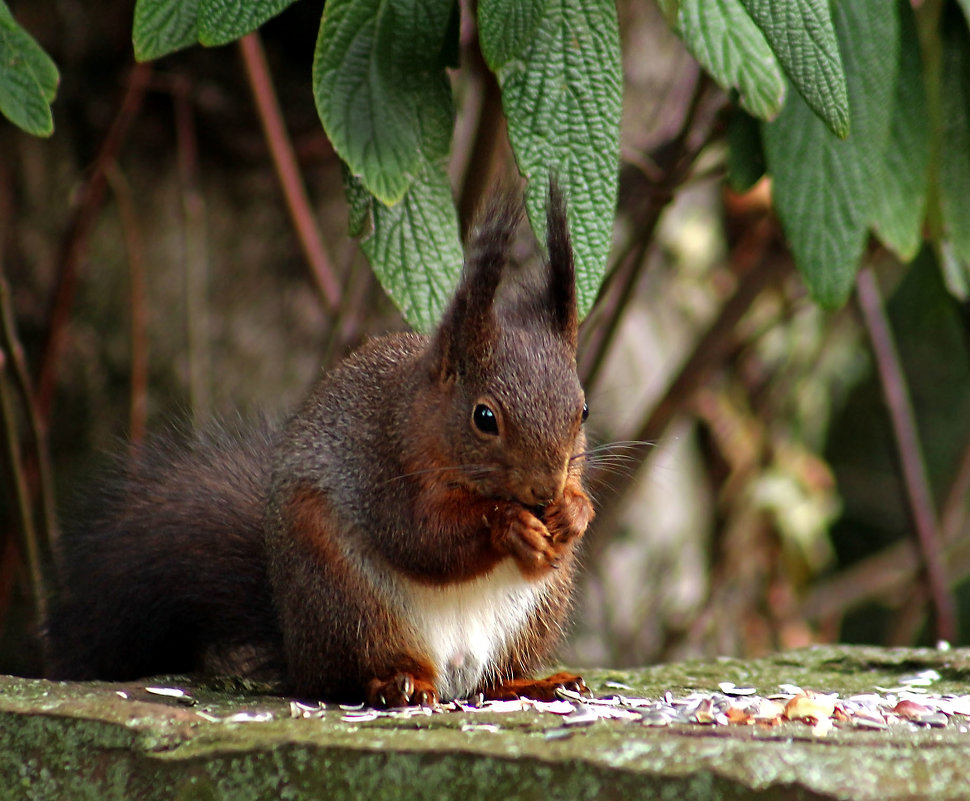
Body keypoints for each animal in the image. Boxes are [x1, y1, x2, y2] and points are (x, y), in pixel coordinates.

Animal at [45, 183, 592, 708]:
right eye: (484, 418)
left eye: (583, 410)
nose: (545, 490)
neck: (422, 420)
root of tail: (297, 649)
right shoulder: (383, 469)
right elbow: (421, 538)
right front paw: (510, 525)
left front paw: (573, 512)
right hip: (347, 601)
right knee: (352, 675)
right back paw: (399, 685)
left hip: (537, 611)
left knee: (493, 680)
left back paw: (536, 684)